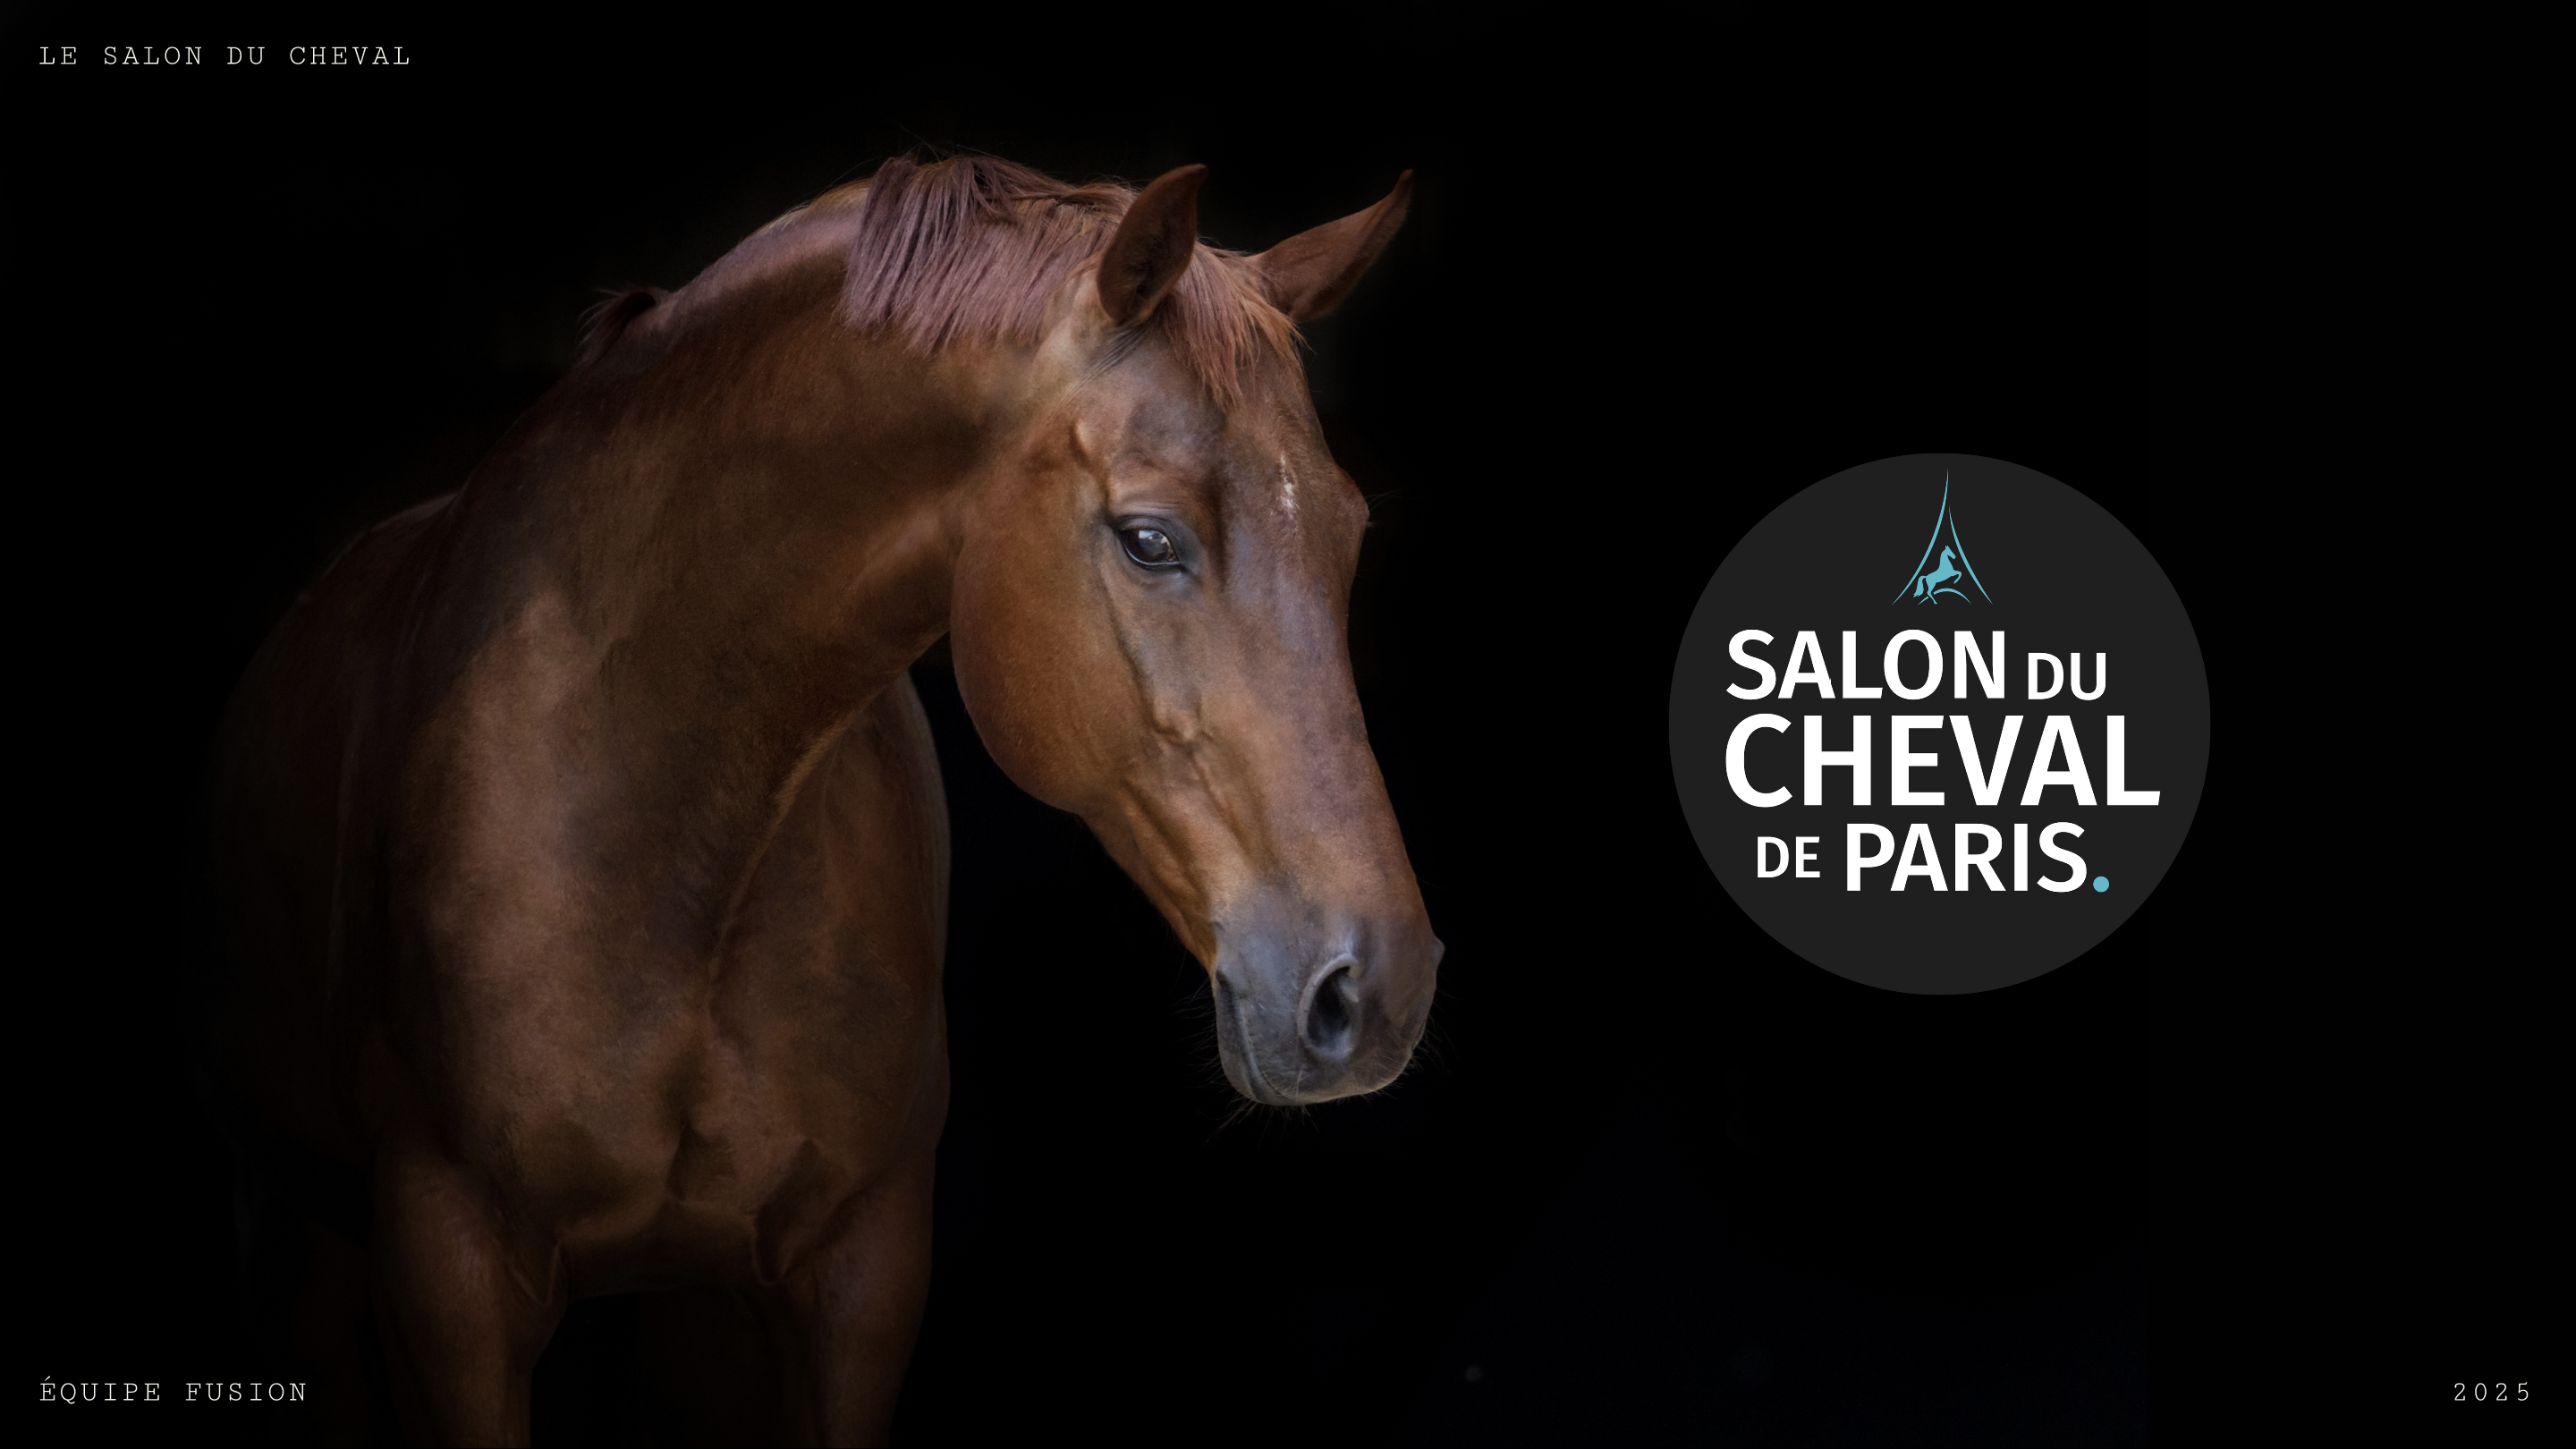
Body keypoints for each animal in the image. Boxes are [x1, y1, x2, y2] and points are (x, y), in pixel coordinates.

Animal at [186, 154, 1440, 1445]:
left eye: (1348, 534)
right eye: (1148, 539)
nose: (1377, 990)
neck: (665, 809)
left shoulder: (859, 1275)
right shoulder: (452, 1281)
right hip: (295, 1245)